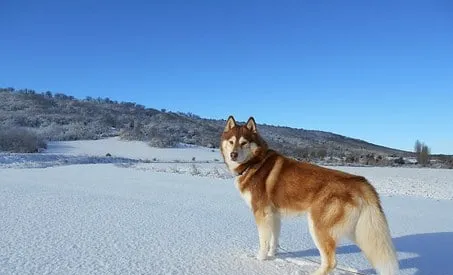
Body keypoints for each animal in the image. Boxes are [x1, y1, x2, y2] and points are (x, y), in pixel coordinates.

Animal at [221, 116, 398, 275]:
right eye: (231, 141)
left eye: (244, 142)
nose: (233, 155)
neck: (254, 163)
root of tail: (359, 181)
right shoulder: (274, 215)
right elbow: (274, 239)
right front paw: (273, 256)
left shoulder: (261, 213)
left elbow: (263, 241)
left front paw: (260, 260)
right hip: (359, 232)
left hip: (318, 227)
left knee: (331, 261)